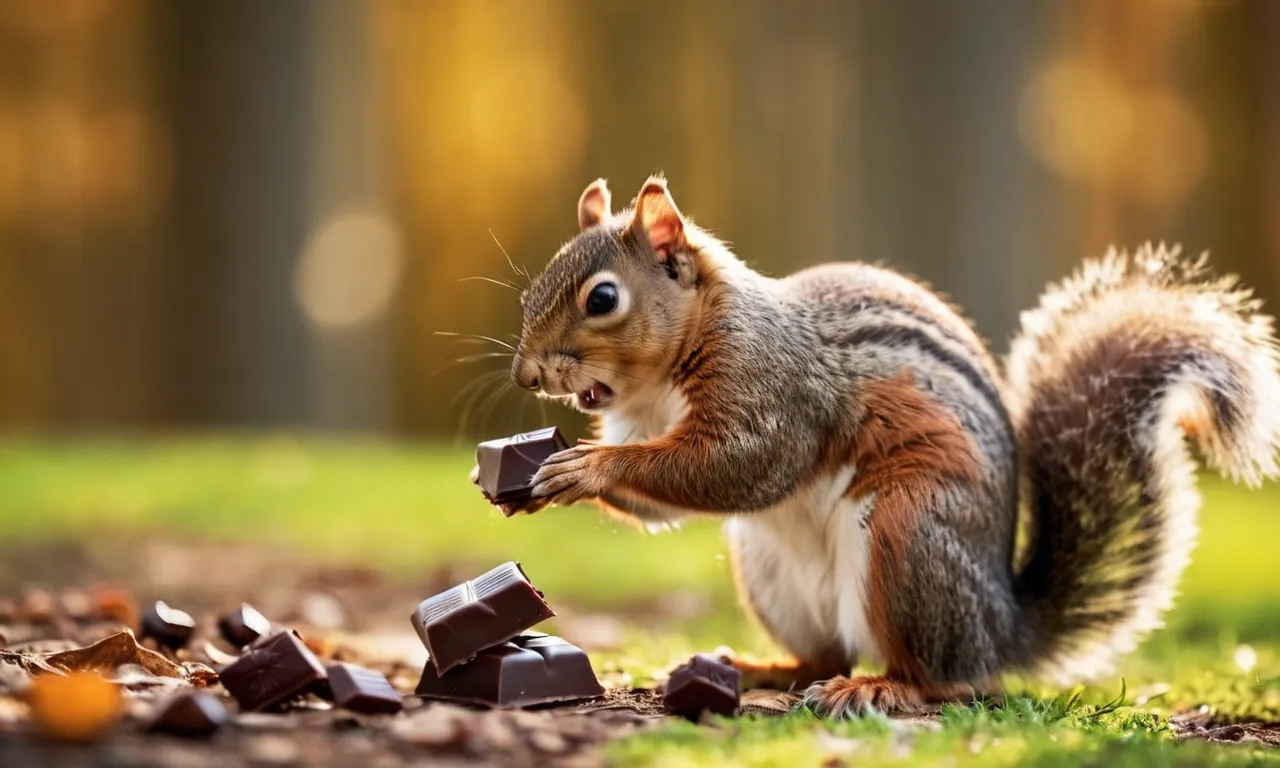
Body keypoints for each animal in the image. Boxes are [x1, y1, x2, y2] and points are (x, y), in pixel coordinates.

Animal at [477, 174, 1280, 717]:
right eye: (529, 294)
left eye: (603, 299)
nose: (526, 373)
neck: (658, 386)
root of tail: (999, 626)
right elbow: (663, 506)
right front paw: (530, 482)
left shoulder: (776, 393)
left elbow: (739, 466)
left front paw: (587, 467)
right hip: (771, 571)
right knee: (824, 649)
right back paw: (768, 670)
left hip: (906, 532)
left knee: (939, 678)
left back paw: (877, 687)